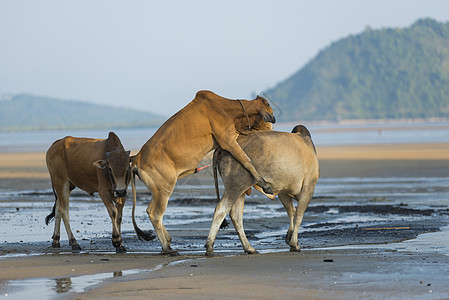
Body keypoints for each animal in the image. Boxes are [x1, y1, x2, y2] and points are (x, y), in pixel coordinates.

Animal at [131, 89, 274, 255]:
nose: (273, 131)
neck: (228, 109)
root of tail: (137, 160)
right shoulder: (228, 141)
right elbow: (247, 161)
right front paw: (265, 184)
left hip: (157, 191)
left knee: (149, 211)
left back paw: (168, 242)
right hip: (165, 189)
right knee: (156, 215)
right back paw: (167, 248)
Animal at [206, 126, 318, 255]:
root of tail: (221, 148)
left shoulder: (283, 192)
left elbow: (291, 212)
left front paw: (289, 238)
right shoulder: (308, 188)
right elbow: (299, 215)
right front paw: (294, 244)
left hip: (240, 190)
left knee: (236, 216)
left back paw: (249, 248)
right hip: (235, 186)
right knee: (221, 210)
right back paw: (209, 247)